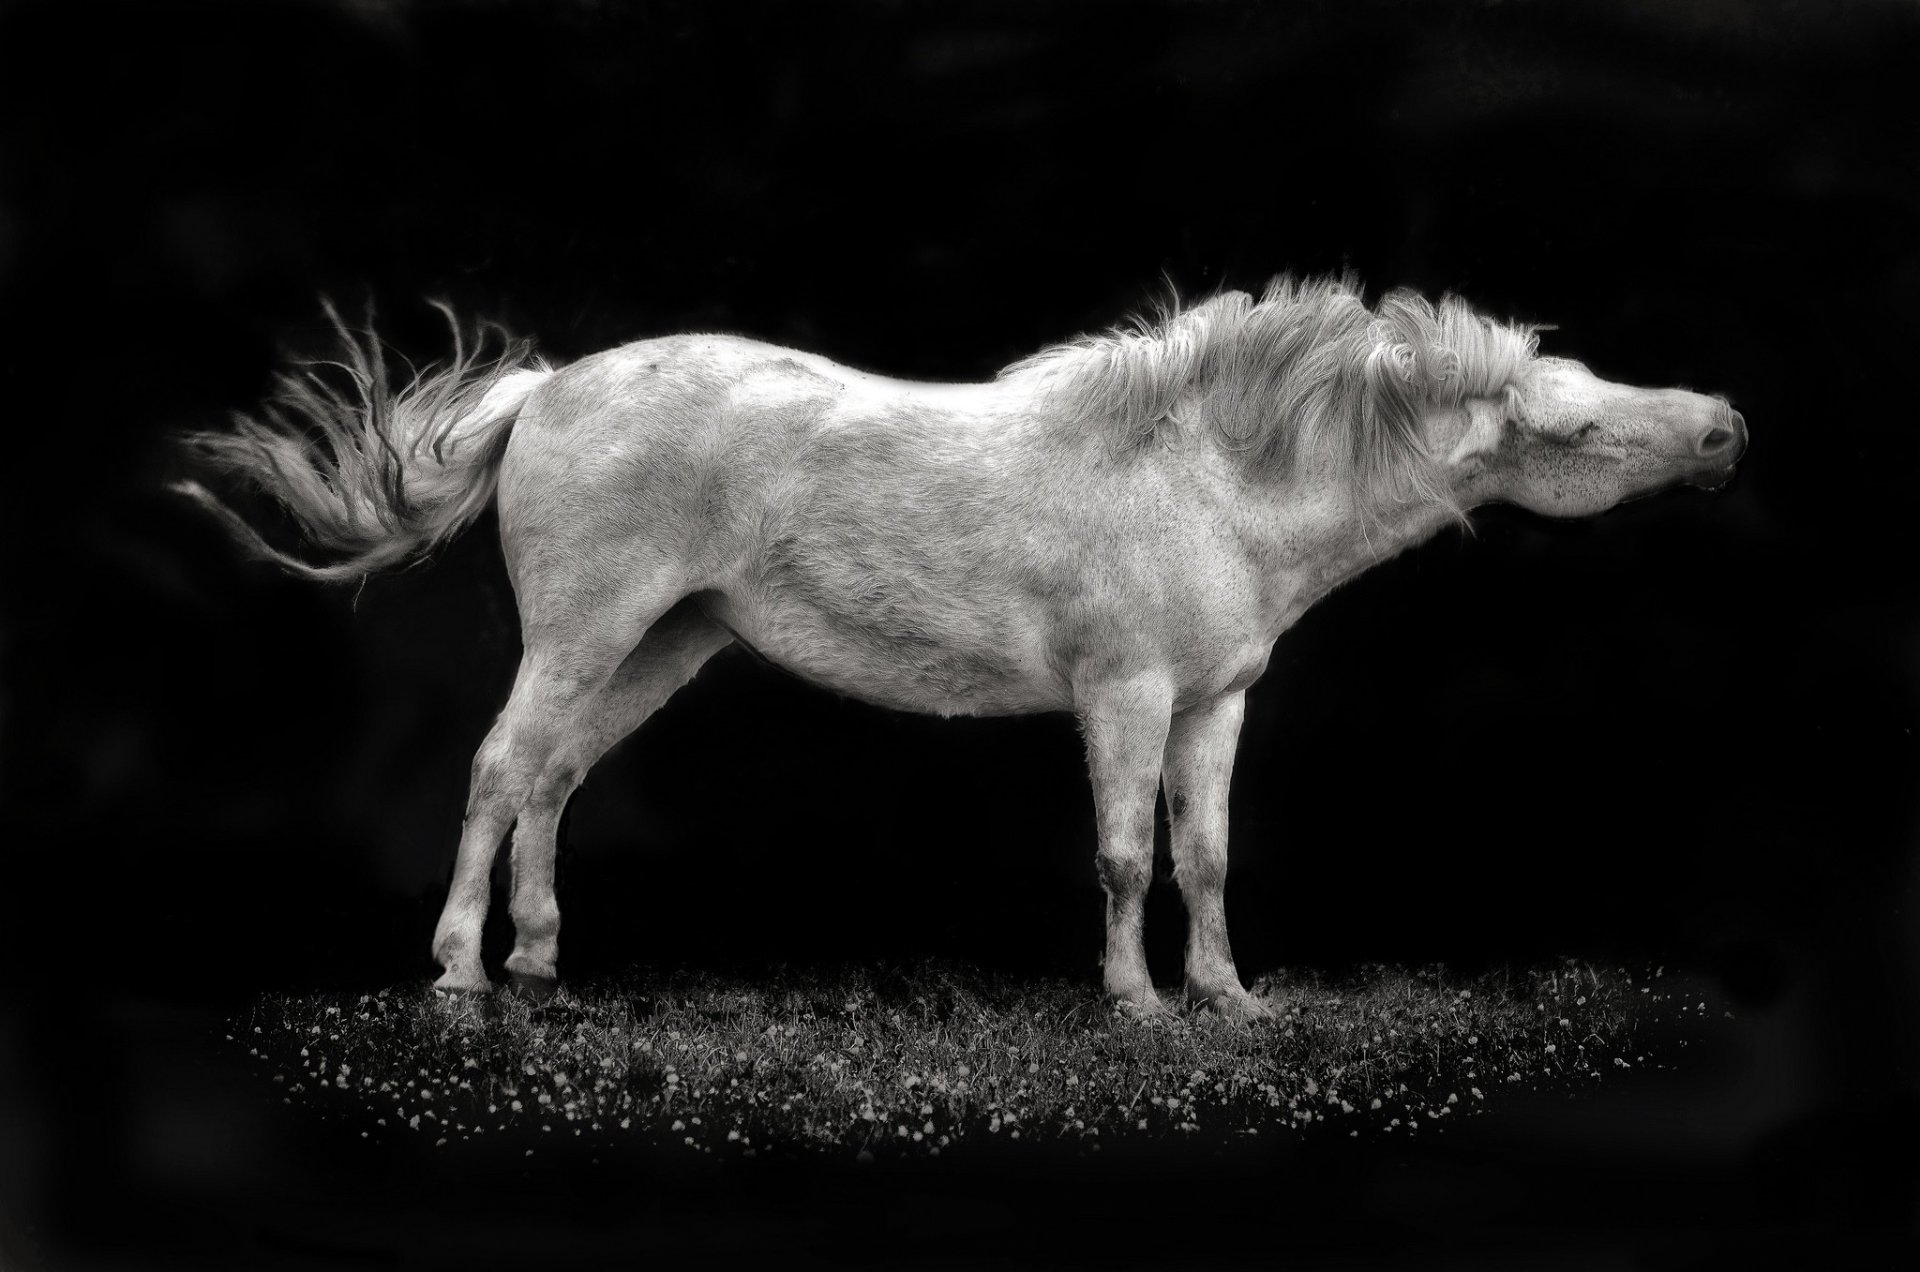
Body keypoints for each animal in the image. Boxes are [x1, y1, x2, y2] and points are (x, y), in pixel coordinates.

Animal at [176, 274, 1743, 1022]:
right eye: (1576, 429)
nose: (1724, 423)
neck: (1208, 476)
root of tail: (547, 390)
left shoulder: (1216, 706)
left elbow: (1207, 854)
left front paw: (1228, 999)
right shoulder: (1124, 696)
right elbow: (1124, 854)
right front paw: (1137, 1005)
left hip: (662, 646)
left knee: (554, 780)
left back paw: (545, 960)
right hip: (588, 628)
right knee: (503, 768)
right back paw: (457, 971)